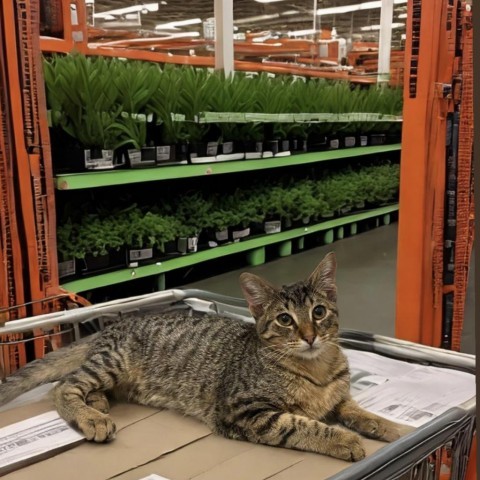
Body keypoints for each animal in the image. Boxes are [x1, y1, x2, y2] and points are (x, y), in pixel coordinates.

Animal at [0, 251, 402, 462]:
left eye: (319, 312)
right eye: (285, 319)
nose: (310, 335)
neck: (317, 368)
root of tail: (110, 326)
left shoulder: (338, 397)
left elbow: (356, 410)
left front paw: (388, 425)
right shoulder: (244, 412)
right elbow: (301, 424)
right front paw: (343, 440)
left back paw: (97, 403)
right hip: (112, 362)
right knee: (64, 386)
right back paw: (90, 416)